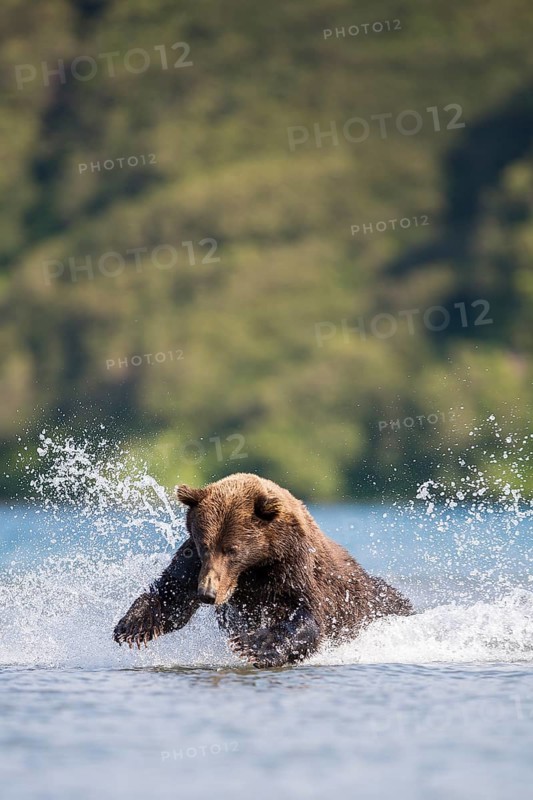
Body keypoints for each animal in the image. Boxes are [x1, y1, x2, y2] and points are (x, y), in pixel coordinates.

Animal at [113, 473, 413, 667]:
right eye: (204, 545)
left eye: (232, 549)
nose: (207, 594)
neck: (256, 566)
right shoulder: (194, 563)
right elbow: (173, 594)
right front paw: (132, 626)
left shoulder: (295, 568)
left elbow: (307, 616)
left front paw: (252, 645)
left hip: (375, 605)